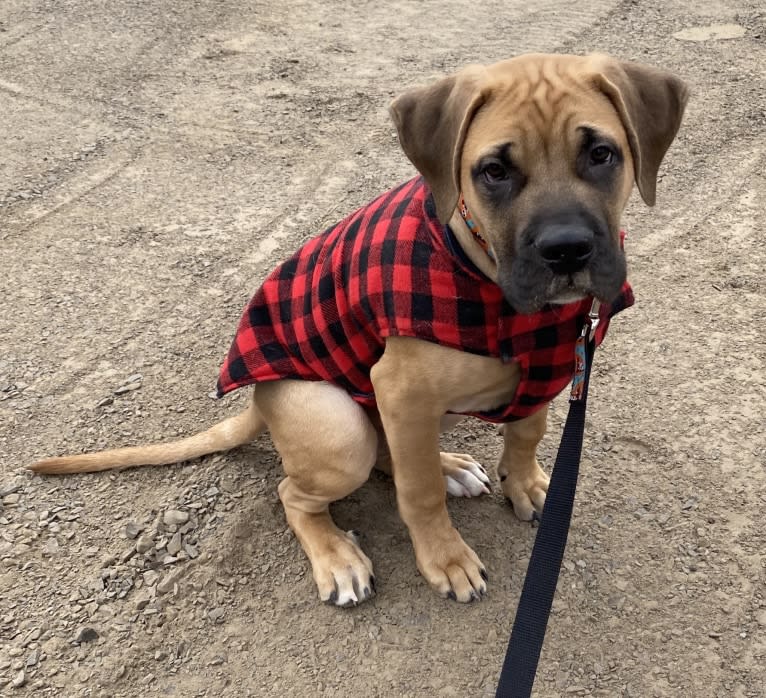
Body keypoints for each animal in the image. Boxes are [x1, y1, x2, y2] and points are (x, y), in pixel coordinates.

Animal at [28, 53, 688, 604]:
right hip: (339, 425)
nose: (567, 251)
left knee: (394, 453)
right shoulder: (401, 386)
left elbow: (526, 432)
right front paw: (445, 559)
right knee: (302, 490)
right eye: (495, 171)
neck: (485, 275)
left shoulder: (550, 365)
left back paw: (450, 466)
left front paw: (526, 484)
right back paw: (338, 556)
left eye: (602, 155)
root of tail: (259, 403)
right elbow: (418, 494)